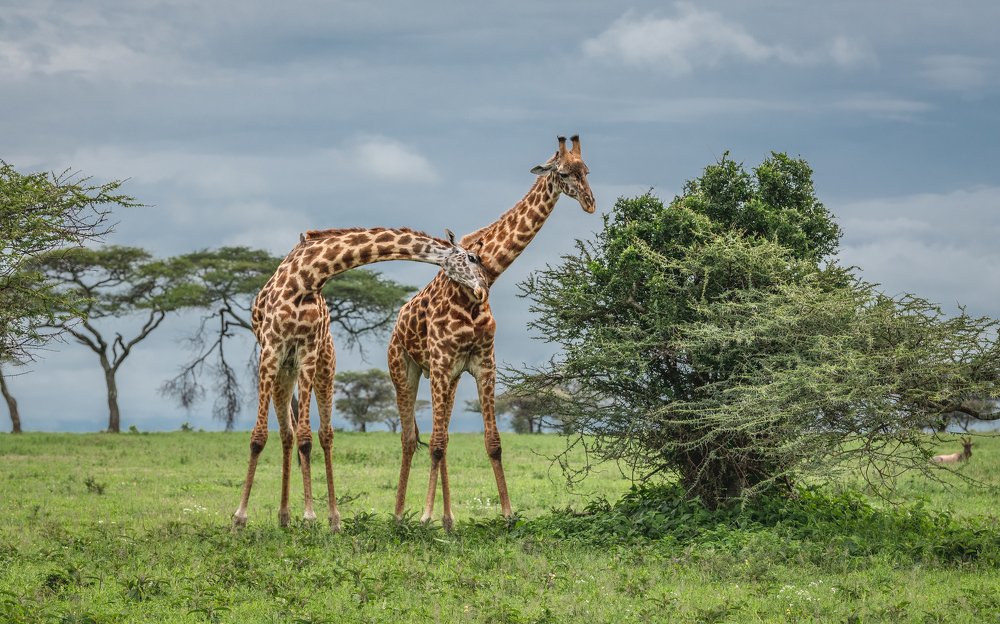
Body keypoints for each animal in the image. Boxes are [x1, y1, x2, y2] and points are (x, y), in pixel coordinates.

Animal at [232, 227, 490, 531]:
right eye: (472, 258)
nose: (483, 288)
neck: (308, 276)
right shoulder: (271, 349)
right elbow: (258, 437)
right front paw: (239, 519)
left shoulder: (307, 351)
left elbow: (306, 438)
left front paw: (309, 517)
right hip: (284, 368)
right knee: (287, 432)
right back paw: (284, 516)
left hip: (321, 363)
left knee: (320, 434)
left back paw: (326, 518)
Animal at [389, 135, 595, 530]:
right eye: (563, 172)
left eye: (587, 170)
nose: (590, 203)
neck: (477, 288)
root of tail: (396, 324)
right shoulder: (442, 363)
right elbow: (434, 443)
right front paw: (425, 516)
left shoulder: (483, 363)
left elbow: (492, 442)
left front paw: (508, 514)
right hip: (405, 369)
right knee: (411, 438)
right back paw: (401, 515)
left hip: (449, 378)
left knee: (441, 436)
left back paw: (449, 518)